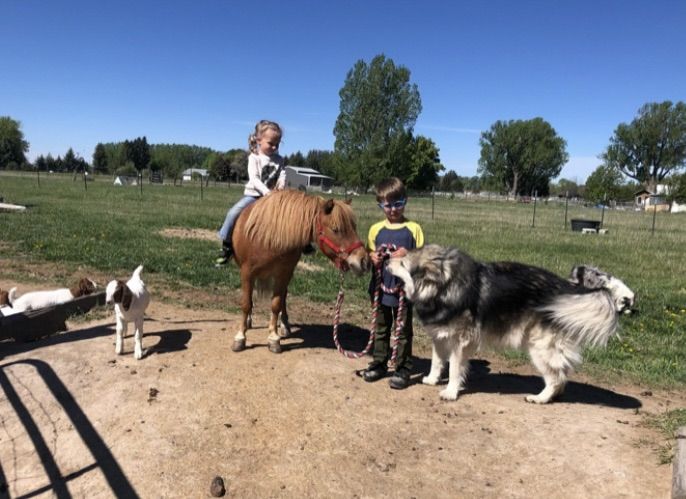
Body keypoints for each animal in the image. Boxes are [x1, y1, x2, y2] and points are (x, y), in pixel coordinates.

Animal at [230, 189, 370, 353]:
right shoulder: (247, 273)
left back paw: (285, 326)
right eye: (336, 229)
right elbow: (246, 304)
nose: (364, 261)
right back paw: (249, 321)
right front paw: (240, 337)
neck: (267, 237)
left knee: (283, 298)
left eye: (354, 227)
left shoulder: (283, 274)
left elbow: (276, 304)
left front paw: (273, 338)